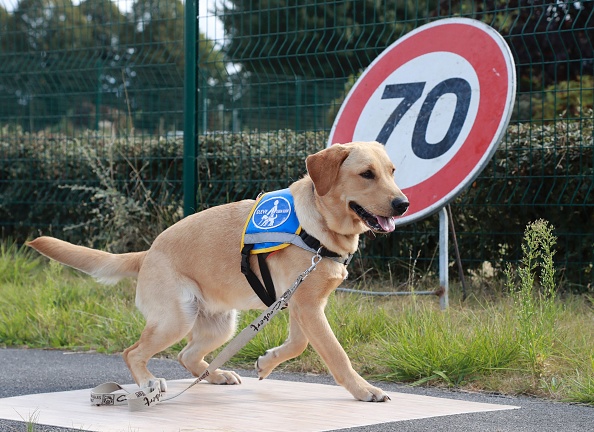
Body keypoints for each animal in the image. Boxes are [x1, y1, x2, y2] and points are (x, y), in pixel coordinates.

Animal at [27, 141, 408, 402]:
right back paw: (149, 383)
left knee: (187, 355)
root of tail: (148, 252)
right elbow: (336, 354)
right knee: (133, 352)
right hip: (176, 318)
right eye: (366, 174)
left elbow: (298, 344)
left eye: (392, 172)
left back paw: (215, 375)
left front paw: (267, 362)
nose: (403, 204)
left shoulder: (304, 305)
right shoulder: (306, 306)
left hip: (220, 325)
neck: (319, 227)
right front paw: (365, 390)